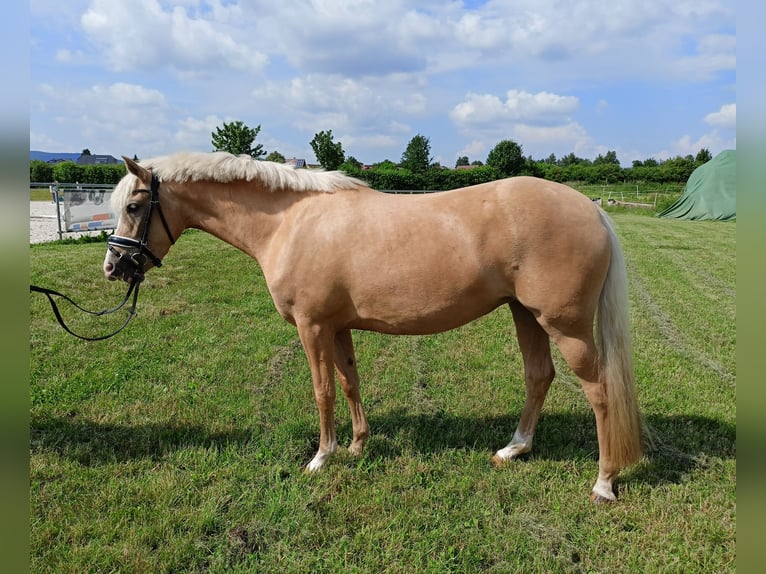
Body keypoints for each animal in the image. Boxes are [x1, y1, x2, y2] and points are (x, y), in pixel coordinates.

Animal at [102, 153, 640, 504]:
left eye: (134, 207)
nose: (113, 267)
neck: (290, 222)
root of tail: (592, 209)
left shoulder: (312, 327)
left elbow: (322, 391)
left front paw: (322, 458)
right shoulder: (338, 327)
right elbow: (349, 382)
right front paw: (358, 446)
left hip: (566, 326)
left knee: (599, 392)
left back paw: (604, 483)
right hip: (525, 314)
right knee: (538, 376)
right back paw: (515, 449)